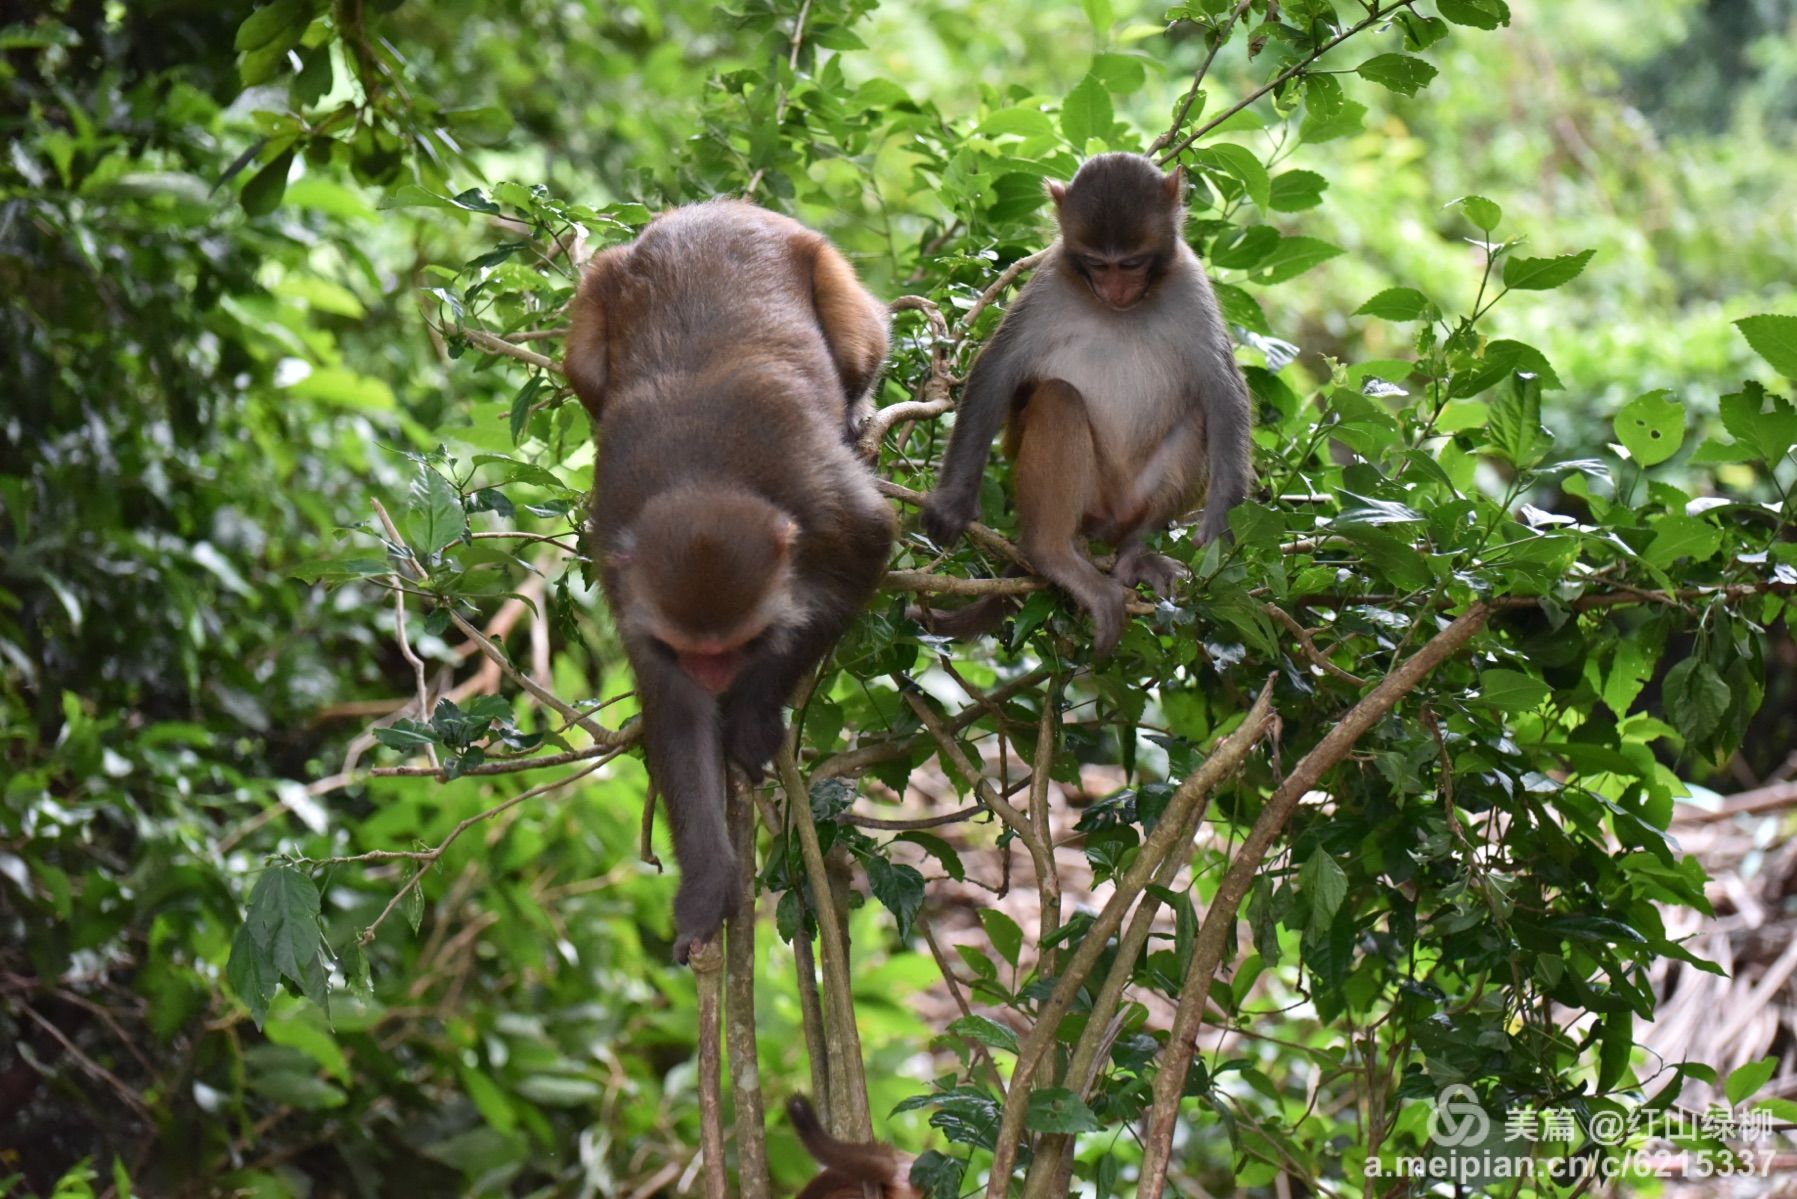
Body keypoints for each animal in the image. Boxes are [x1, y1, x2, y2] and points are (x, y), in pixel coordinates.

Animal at [564, 199, 894, 963]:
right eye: (696, 652)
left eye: (734, 646)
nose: (716, 675)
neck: (702, 475)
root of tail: (720, 208)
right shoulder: (623, 567)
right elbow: (672, 705)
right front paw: (707, 884)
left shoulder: (826, 501)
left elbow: (863, 554)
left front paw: (751, 708)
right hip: (605, 285)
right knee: (584, 358)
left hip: (826, 266)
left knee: (858, 335)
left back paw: (857, 402)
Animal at [927, 152, 1250, 657]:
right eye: (1098, 264)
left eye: (1132, 263)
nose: (1116, 291)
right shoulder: (1050, 283)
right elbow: (995, 372)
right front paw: (953, 501)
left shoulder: (1189, 284)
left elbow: (1221, 394)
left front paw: (1220, 523)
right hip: (1087, 497)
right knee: (1058, 397)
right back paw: (1054, 555)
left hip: (1129, 502)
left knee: (1197, 416)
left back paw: (1135, 555)